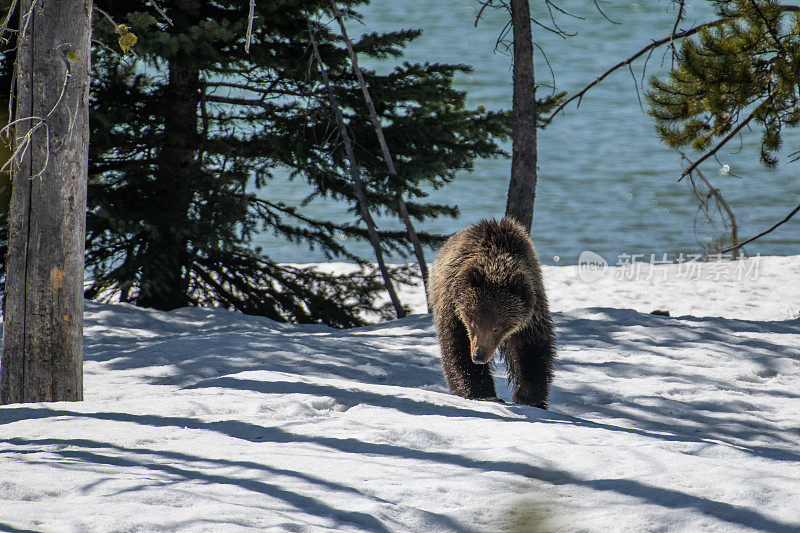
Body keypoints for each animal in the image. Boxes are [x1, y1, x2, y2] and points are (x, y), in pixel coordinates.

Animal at [428, 216, 552, 408]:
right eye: (472, 322)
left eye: (498, 327)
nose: (479, 356)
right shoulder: (454, 311)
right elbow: (457, 349)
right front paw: (482, 393)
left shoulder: (531, 313)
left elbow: (532, 350)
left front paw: (528, 397)